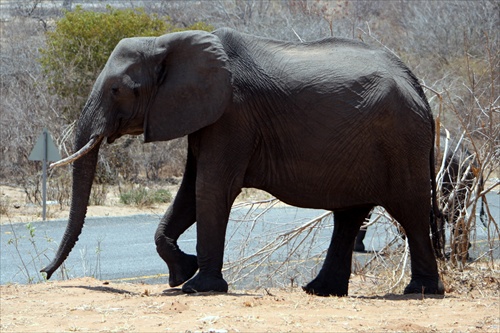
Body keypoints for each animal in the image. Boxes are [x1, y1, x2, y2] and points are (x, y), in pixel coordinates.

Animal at [41, 27, 444, 294]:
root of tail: (417, 85)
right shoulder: (206, 114)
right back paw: (319, 290)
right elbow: (189, 190)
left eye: (118, 90)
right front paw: (182, 272)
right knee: (349, 215)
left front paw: (198, 286)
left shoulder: (233, 114)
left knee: (409, 208)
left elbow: (211, 187)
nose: (44, 273)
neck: (167, 42)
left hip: (402, 140)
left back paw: (421, 292)